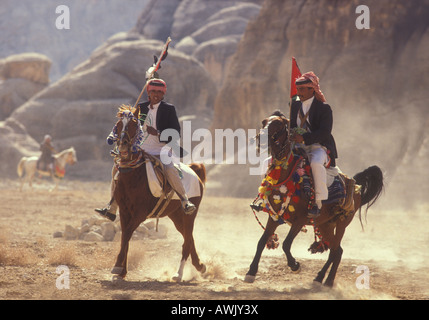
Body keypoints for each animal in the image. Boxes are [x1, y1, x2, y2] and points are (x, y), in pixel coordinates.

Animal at [108, 105, 206, 280]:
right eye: (118, 125)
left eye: (134, 124)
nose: (123, 145)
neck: (133, 175)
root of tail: (195, 172)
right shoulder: (124, 211)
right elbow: (124, 236)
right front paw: (122, 271)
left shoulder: (140, 213)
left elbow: (127, 234)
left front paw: (117, 267)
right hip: (175, 215)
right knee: (189, 238)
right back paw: (200, 266)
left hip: (189, 215)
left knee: (187, 241)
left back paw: (178, 274)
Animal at [246, 114, 382, 286]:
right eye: (264, 122)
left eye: (278, 125)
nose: (259, 139)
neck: (287, 176)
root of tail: (355, 185)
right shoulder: (275, 217)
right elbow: (262, 241)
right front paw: (251, 272)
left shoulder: (300, 220)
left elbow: (286, 244)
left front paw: (295, 265)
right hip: (326, 225)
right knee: (337, 250)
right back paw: (319, 277)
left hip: (342, 224)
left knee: (335, 251)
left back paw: (328, 280)